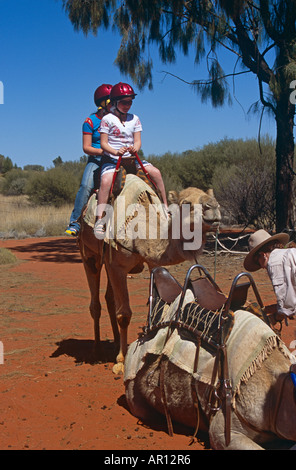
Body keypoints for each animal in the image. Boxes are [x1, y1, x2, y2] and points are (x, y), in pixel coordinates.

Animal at [77, 173, 221, 374]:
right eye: (186, 203)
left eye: (210, 197)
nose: (213, 206)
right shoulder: (117, 266)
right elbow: (124, 315)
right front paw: (121, 362)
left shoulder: (152, 263)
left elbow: (156, 306)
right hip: (88, 255)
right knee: (95, 303)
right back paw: (97, 350)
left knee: (109, 299)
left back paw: (115, 343)